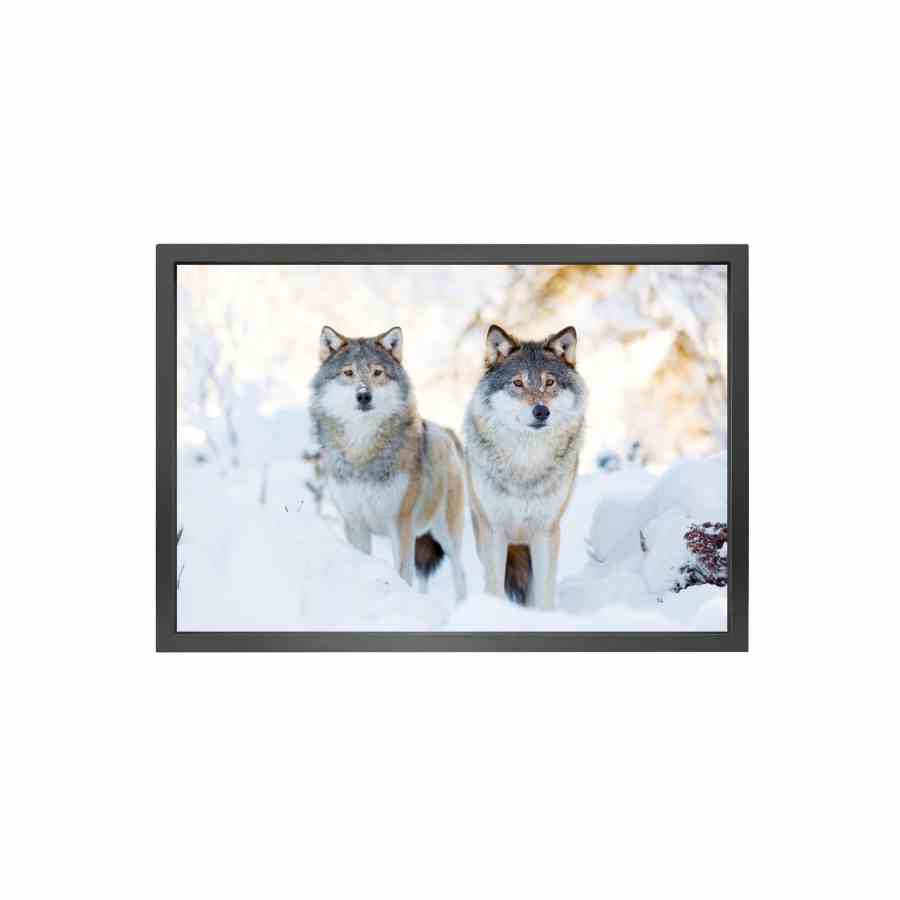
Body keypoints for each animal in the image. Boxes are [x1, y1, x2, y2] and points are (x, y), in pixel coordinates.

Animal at [310, 325, 467, 603]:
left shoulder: (400, 523)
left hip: (446, 534)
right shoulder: (355, 523)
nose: (363, 395)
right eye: (348, 372)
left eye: (377, 372)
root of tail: (447, 432)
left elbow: (403, 573)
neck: (362, 452)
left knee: (461, 574)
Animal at [464, 324, 587, 609]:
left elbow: (543, 593)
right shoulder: (494, 530)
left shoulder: (546, 531)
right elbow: (495, 587)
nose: (541, 411)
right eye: (517, 383)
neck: (526, 463)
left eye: (549, 382)